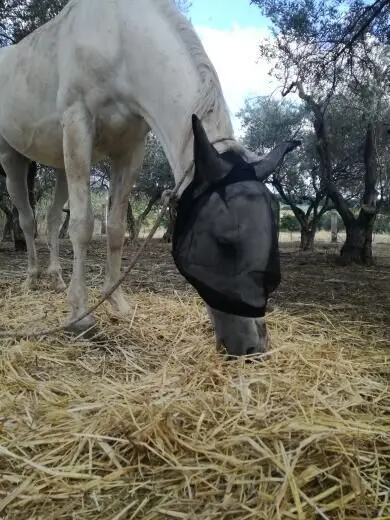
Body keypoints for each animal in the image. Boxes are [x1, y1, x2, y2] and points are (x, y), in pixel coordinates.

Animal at [0, 0, 300, 356]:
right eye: (224, 241)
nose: (253, 347)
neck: (118, 39)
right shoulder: (77, 126)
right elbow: (83, 225)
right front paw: (80, 316)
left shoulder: (130, 148)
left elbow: (116, 228)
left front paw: (116, 303)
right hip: (12, 157)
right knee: (27, 220)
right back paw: (32, 278)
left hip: (58, 162)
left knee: (50, 220)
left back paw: (57, 279)